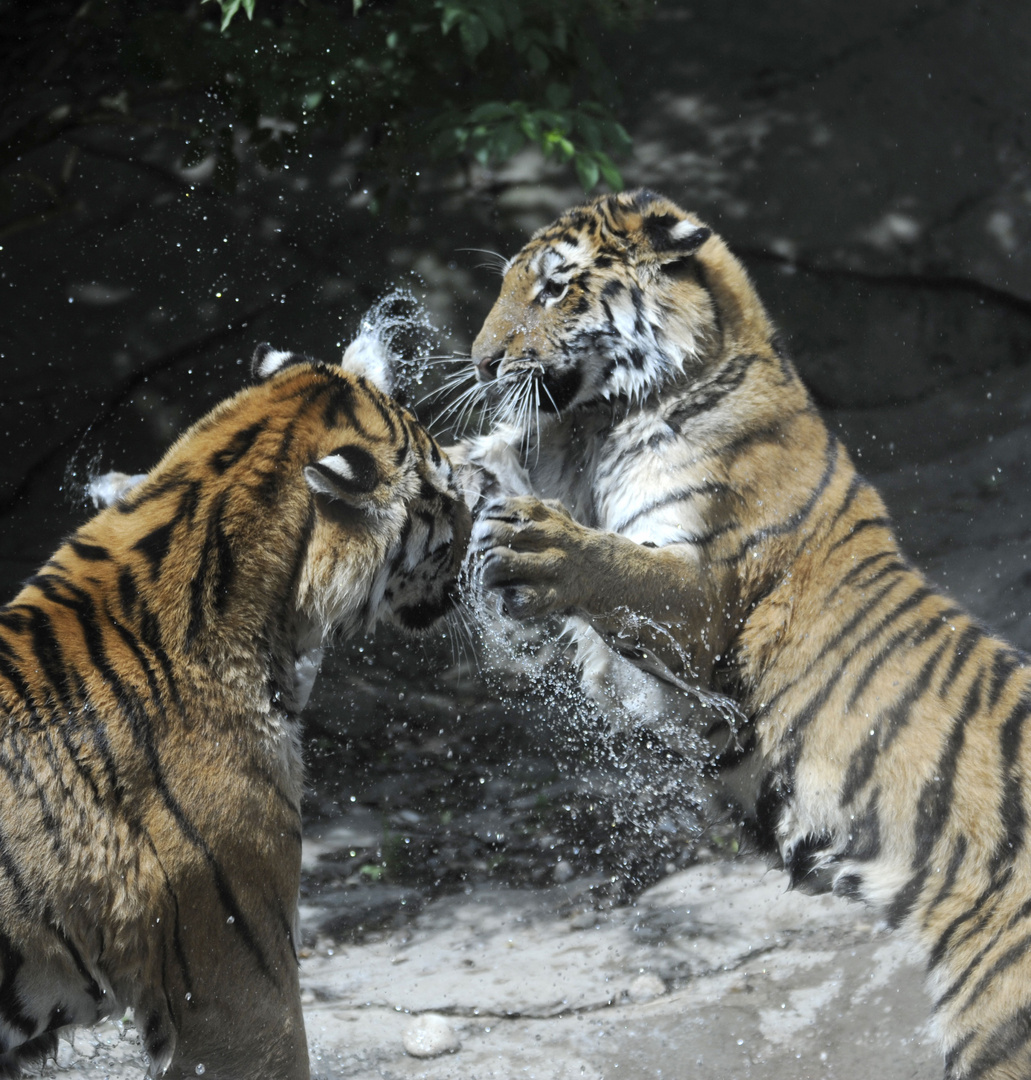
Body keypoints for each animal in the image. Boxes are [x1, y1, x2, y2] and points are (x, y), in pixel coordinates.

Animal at [457, 190, 1031, 1075]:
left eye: (553, 289)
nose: (481, 363)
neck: (599, 428)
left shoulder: (702, 605)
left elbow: (622, 569)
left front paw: (538, 541)